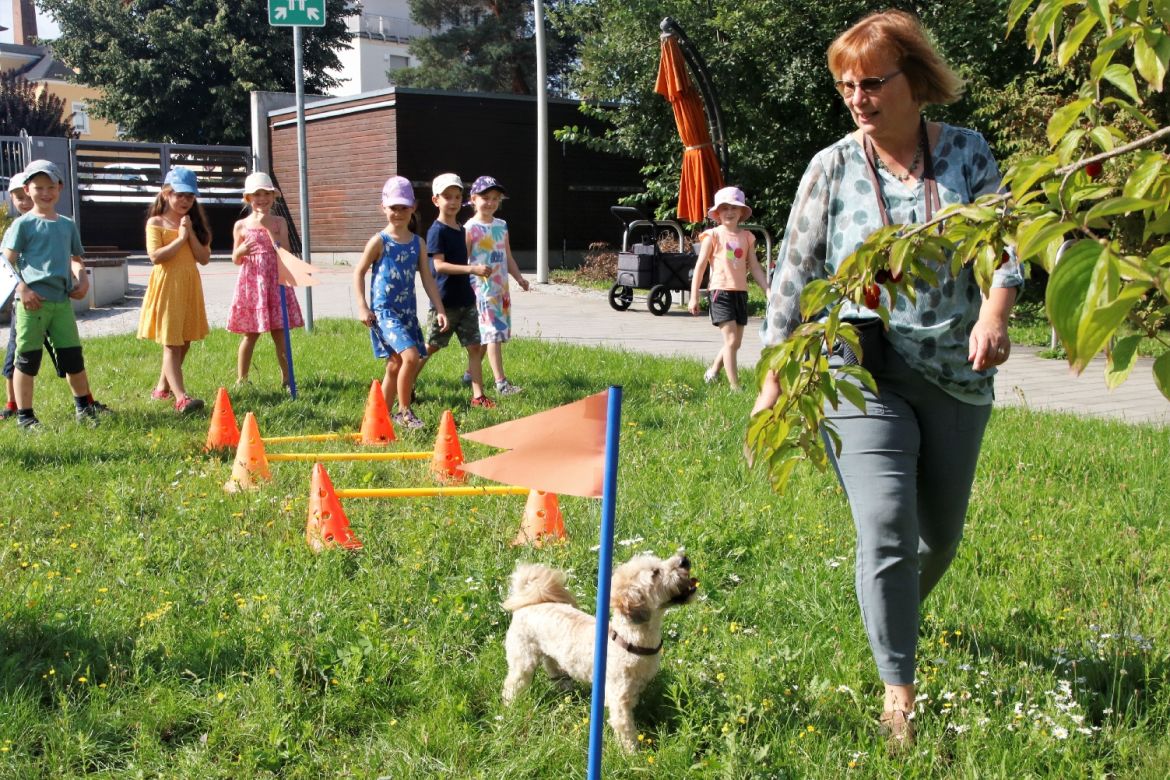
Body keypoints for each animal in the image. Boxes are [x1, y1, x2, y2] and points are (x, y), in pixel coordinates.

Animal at [500, 549, 692, 748]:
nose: (684, 559)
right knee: (512, 684)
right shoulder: (618, 699)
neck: (628, 641)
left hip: (551, 655)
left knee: (554, 670)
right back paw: (510, 707)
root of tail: (529, 603)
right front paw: (632, 752)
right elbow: (625, 729)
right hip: (522, 660)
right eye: (655, 572)